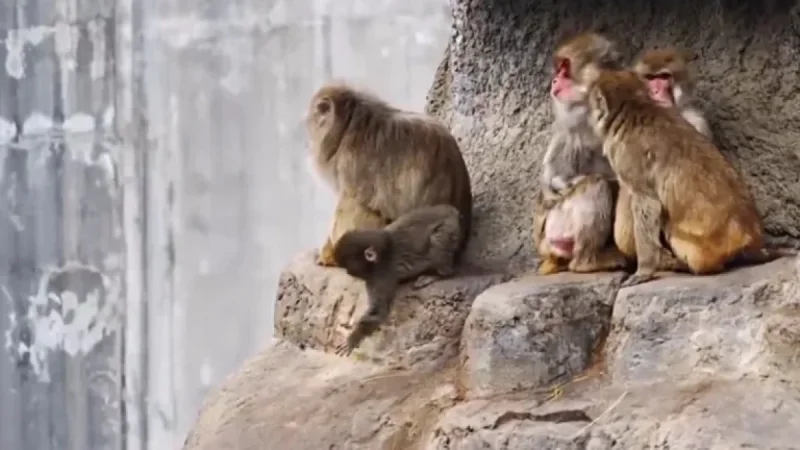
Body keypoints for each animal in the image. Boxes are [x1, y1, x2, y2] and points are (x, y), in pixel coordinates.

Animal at [331, 204, 463, 355]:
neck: (378, 258)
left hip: (450, 228)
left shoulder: (381, 275)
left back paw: (440, 274)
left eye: (349, 266)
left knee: (438, 242)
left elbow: (378, 312)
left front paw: (354, 337)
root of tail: (451, 210)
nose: (348, 272)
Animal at [532, 31, 628, 275]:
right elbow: (554, 182)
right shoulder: (570, 128)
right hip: (557, 226)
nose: (554, 80)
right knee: (596, 184)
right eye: (558, 68)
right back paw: (588, 261)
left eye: (564, 67)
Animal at [585, 69, 794, 287]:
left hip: (703, 248)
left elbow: (646, 203)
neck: (634, 106)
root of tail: (749, 237)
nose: (590, 114)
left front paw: (644, 270)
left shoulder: (627, 157)